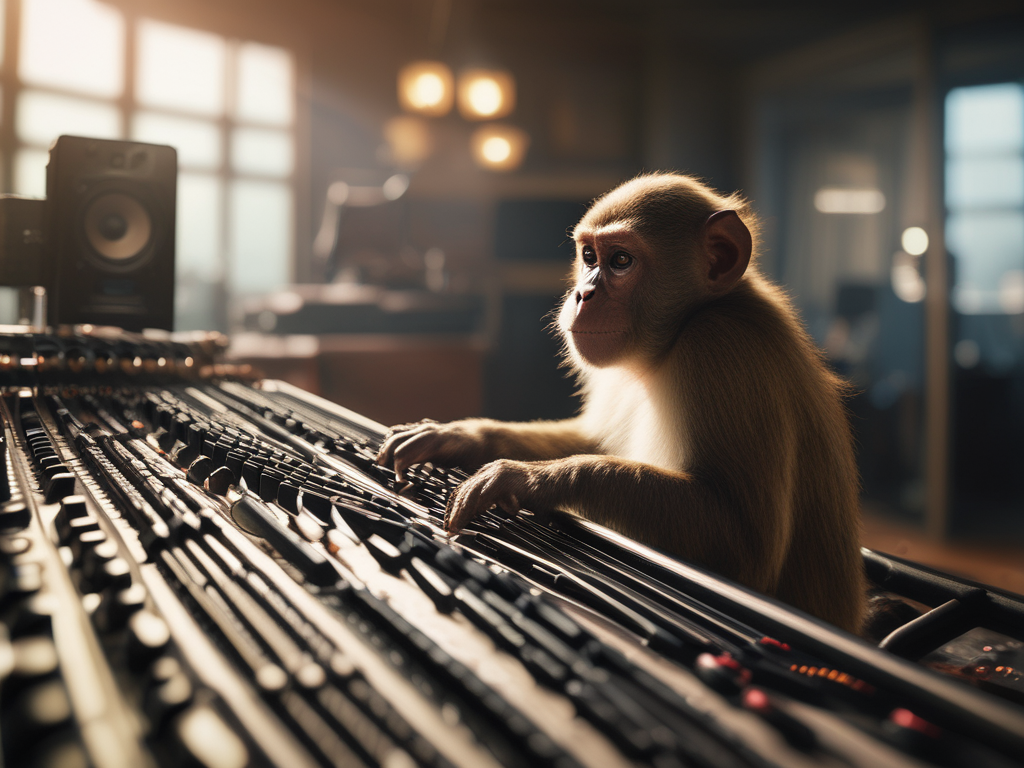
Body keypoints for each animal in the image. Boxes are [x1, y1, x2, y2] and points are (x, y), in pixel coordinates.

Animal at [377, 173, 866, 634]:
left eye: (621, 261)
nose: (582, 294)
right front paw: (460, 436)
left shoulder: (721, 347)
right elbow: (592, 440)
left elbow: (746, 543)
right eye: (590, 257)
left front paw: (526, 478)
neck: (677, 336)